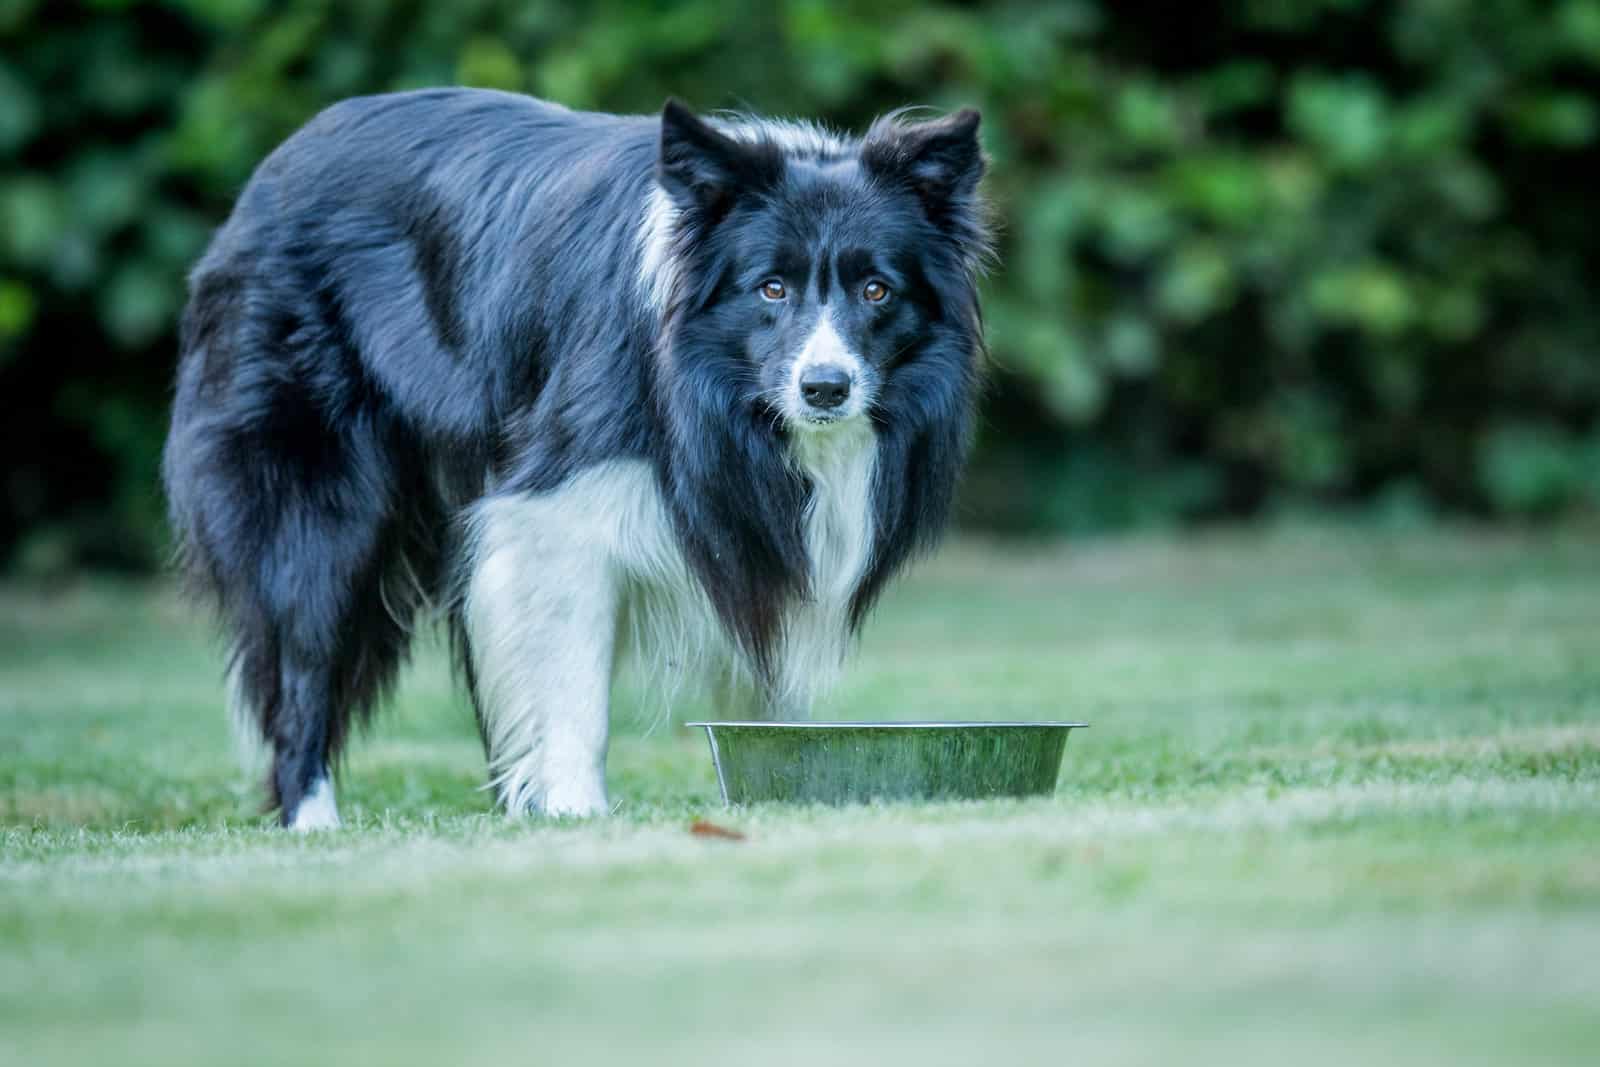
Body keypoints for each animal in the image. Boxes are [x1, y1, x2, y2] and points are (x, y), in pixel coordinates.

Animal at [162, 87, 985, 831]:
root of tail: (266, 177)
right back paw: (312, 817)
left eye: (876, 290)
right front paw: (574, 809)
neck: (714, 389)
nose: (825, 389)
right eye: (771, 288)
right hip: (314, 488)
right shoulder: (554, 502)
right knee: (304, 648)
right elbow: (570, 677)